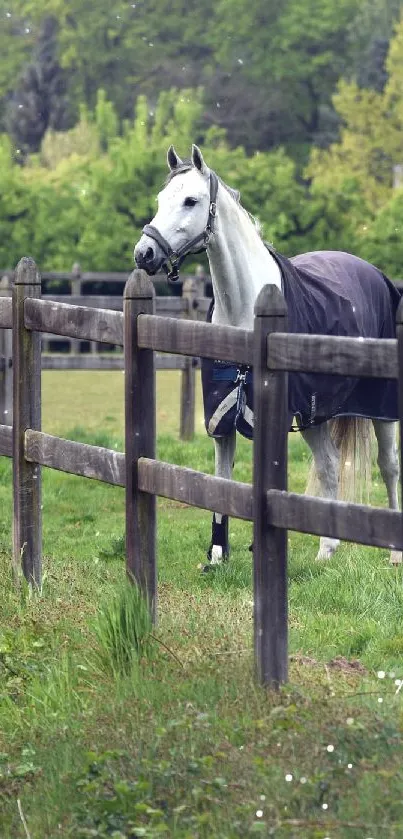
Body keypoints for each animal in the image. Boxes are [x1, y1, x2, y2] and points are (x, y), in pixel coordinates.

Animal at [134, 148, 402, 572]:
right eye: (161, 200)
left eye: (190, 200)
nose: (144, 253)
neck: (245, 308)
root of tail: (376, 274)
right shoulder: (221, 417)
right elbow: (220, 482)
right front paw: (217, 554)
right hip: (313, 415)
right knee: (329, 465)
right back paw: (326, 550)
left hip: (382, 407)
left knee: (388, 466)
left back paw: (394, 553)